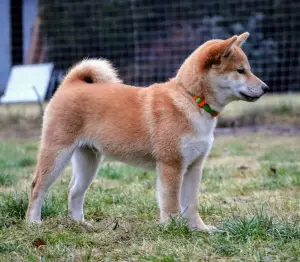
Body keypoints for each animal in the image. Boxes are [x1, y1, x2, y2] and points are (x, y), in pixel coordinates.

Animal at [27, 32, 268, 231]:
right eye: (241, 70)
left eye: (247, 69)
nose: (266, 88)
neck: (191, 98)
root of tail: (70, 83)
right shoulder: (171, 164)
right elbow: (171, 202)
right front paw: (173, 228)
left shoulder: (194, 166)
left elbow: (191, 203)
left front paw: (200, 229)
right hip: (57, 153)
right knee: (37, 186)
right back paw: (33, 222)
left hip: (89, 160)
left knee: (74, 191)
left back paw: (81, 224)